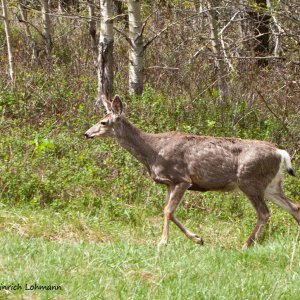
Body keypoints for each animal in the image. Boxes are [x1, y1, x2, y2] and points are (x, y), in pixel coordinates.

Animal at [84, 95, 300, 248]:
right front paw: (185, 239)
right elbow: (167, 210)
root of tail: (281, 153)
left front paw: (172, 241)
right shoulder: (169, 183)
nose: (86, 133)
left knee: (265, 213)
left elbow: (168, 210)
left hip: (250, 181)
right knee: (294, 206)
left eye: (104, 122)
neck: (153, 151)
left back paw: (246, 244)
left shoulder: (182, 179)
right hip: (271, 185)